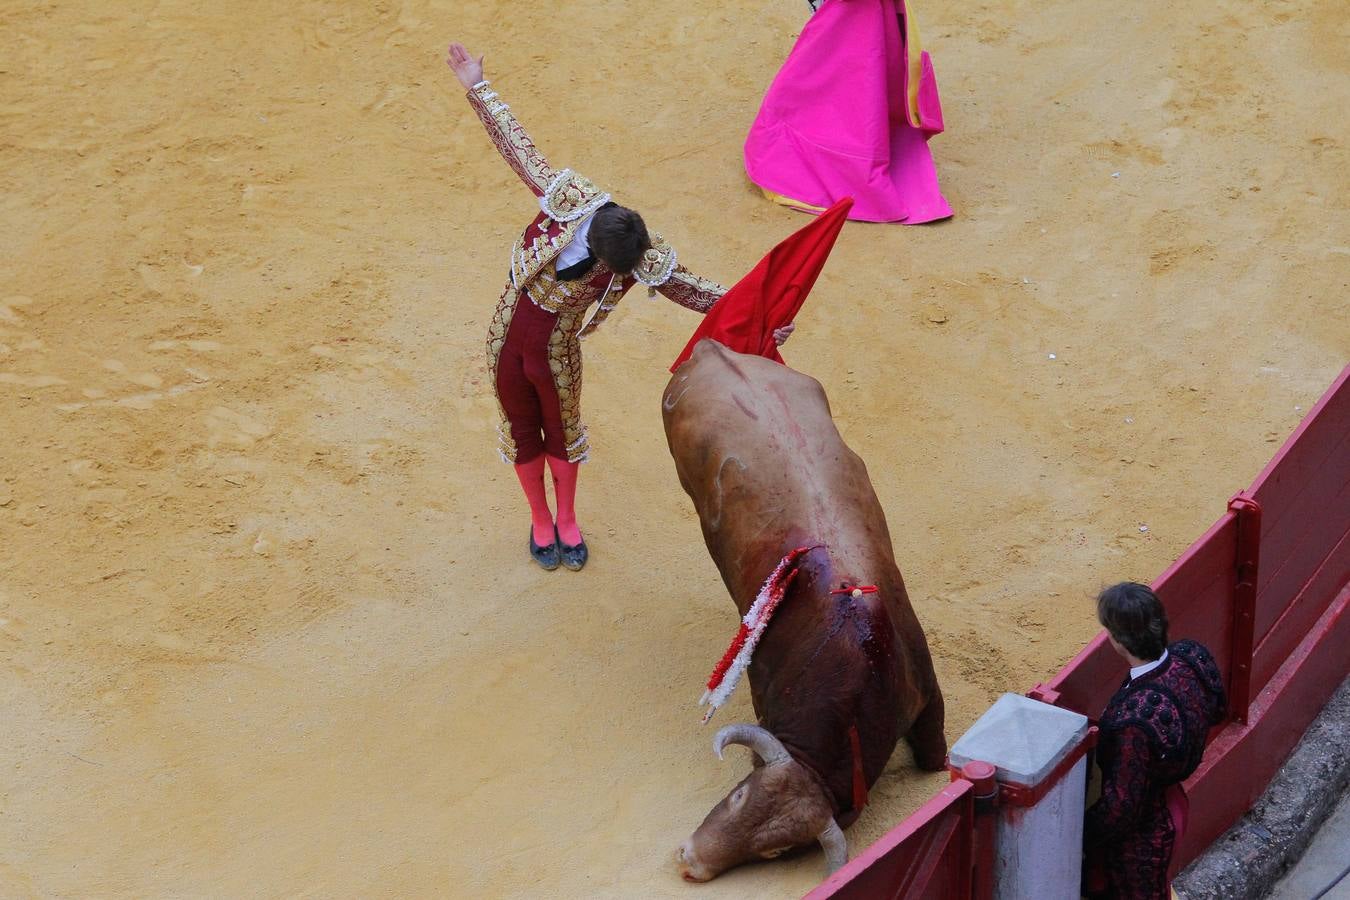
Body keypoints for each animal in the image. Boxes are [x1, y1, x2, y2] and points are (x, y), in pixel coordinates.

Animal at [661, 341, 939, 885]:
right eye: (740, 795)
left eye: (775, 851)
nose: (689, 861)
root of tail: (714, 350)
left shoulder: (923, 690)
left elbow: (936, 759)